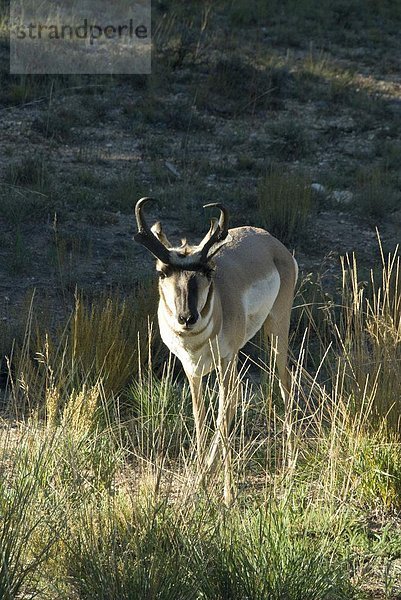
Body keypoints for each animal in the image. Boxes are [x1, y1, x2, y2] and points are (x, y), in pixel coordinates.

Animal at [134, 198, 296, 502]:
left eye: (208, 270)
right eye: (163, 271)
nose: (187, 318)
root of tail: (270, 240)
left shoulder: (223, 360)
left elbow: (220, 416)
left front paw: (228, 494)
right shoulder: (192, 371)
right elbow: (200, 417)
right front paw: (199, 482)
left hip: (276, 332)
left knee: (283, 384)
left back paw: (290, 465)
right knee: (232, 404)